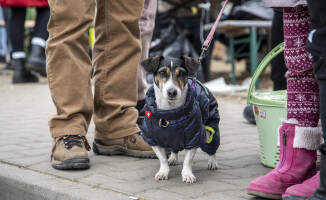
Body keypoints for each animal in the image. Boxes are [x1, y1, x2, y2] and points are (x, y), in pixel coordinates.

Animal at [141, 55, 220, 183]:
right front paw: (163, 172)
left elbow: (187, 161)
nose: (172, 92)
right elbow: (162, 159)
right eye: (162, 72)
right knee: (174, 148)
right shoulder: (153, 140)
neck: (170, 114)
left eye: (182, 73)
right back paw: (172, 158)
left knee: (211, 146)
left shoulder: (193, 138)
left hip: (211, 128)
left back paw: (212, 161)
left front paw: (187, 174)